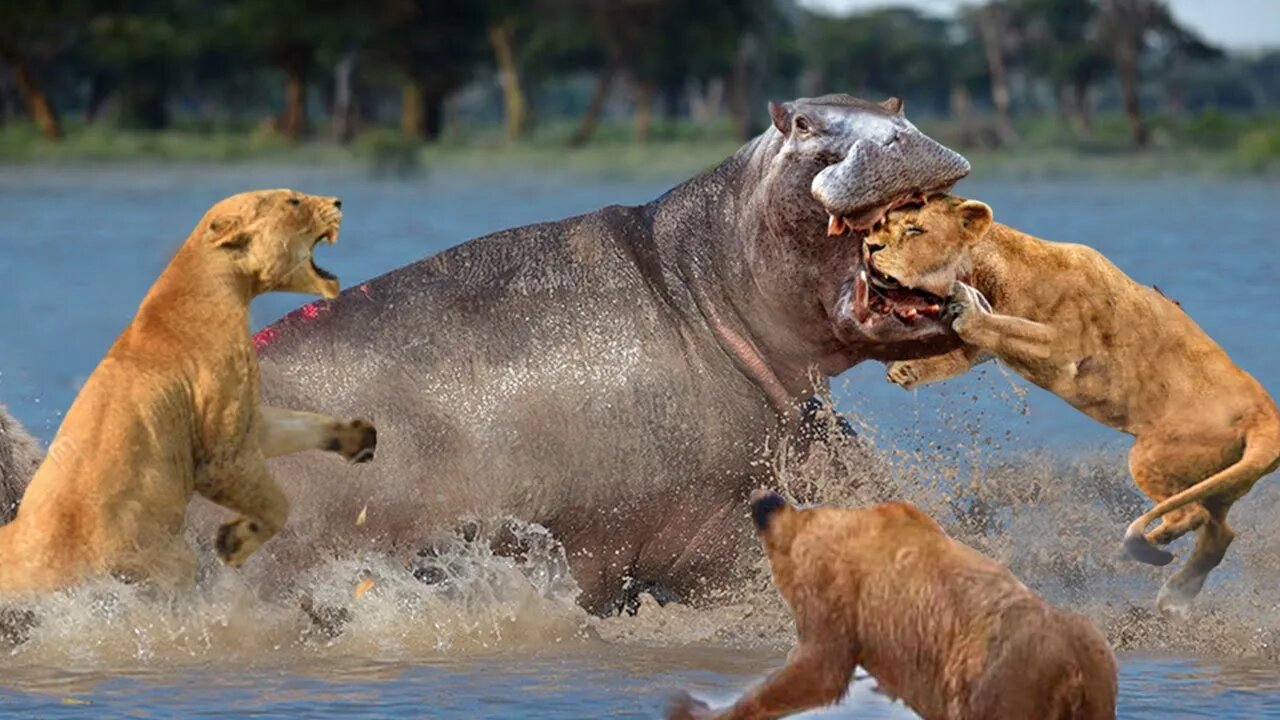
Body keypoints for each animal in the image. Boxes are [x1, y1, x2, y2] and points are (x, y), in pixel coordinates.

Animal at [0, 189, 376, 594]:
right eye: (293, 201)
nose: (337, 202)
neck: (208, 285)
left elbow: (265, 427)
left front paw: (361, 437)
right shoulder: (211, 374)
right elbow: (226, 461)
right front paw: (233, 541)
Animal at [665, 489, 1116, 717]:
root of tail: (1071, 670)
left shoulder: (835, 590)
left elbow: (820, 668)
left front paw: (704, 709)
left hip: (1007, 680)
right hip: (1090, 675)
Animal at [880, 194, 1280, 609]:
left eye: (915, 229)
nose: (872, 249)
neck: (997, 273)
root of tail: (1267, 419)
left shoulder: (1062, 348)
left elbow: (997, 328)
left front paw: (964, 309)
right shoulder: (995, 343)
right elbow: (969, 349)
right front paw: (906, 368)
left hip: (1152, 455)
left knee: (1190, 515)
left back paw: (1141, 553)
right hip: (1219, 482)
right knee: (1219, 533)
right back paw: (1174, 594)